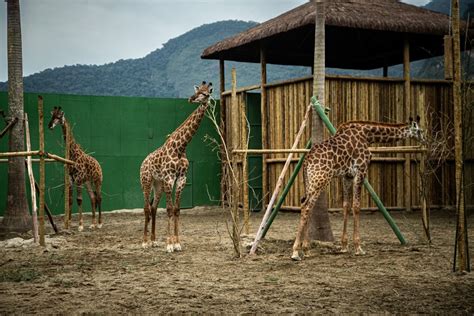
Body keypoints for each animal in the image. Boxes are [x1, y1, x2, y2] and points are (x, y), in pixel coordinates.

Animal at [139, 81, 213, 252]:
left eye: (205, 93)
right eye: (198, 91)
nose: (191, 99)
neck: (181, 147)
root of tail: (143, 162)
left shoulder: (181, 179)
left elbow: (176, 210)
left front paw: (177, 243)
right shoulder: (169, 178)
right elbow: (168, 209)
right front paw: (169, 245)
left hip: (158, 184)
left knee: (153, 207)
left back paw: (153, 241)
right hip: (146, 181)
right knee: (146, 208)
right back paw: (145, 242)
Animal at [290, 116, 424, 260]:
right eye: (420, 130)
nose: (425, 140)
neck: (367, 136)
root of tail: (306, 160)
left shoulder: (347, 175)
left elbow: (346, 205)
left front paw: (344, 246)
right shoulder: (361, 170)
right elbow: (356, 206)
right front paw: (358, 248)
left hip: (310, 181)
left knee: (306, 204)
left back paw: (306, 250)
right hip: (320, 180)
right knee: (306, 206)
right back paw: (296, 252)